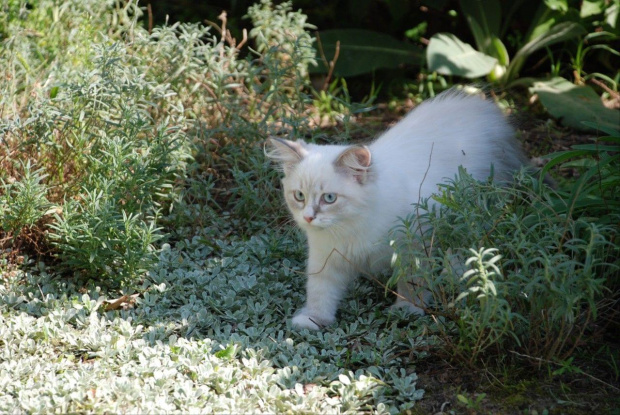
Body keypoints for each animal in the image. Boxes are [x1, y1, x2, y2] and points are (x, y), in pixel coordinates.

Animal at [266, 88, 528, 332]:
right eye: (299, 196)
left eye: (329, 198)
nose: (308, 217)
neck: (352, 226)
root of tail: (486, 108)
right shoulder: (326, 257)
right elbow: (320, 292)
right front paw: (313, 320)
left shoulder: (413, 246)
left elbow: (412, 282)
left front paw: (408, 309)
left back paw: (459, 274)